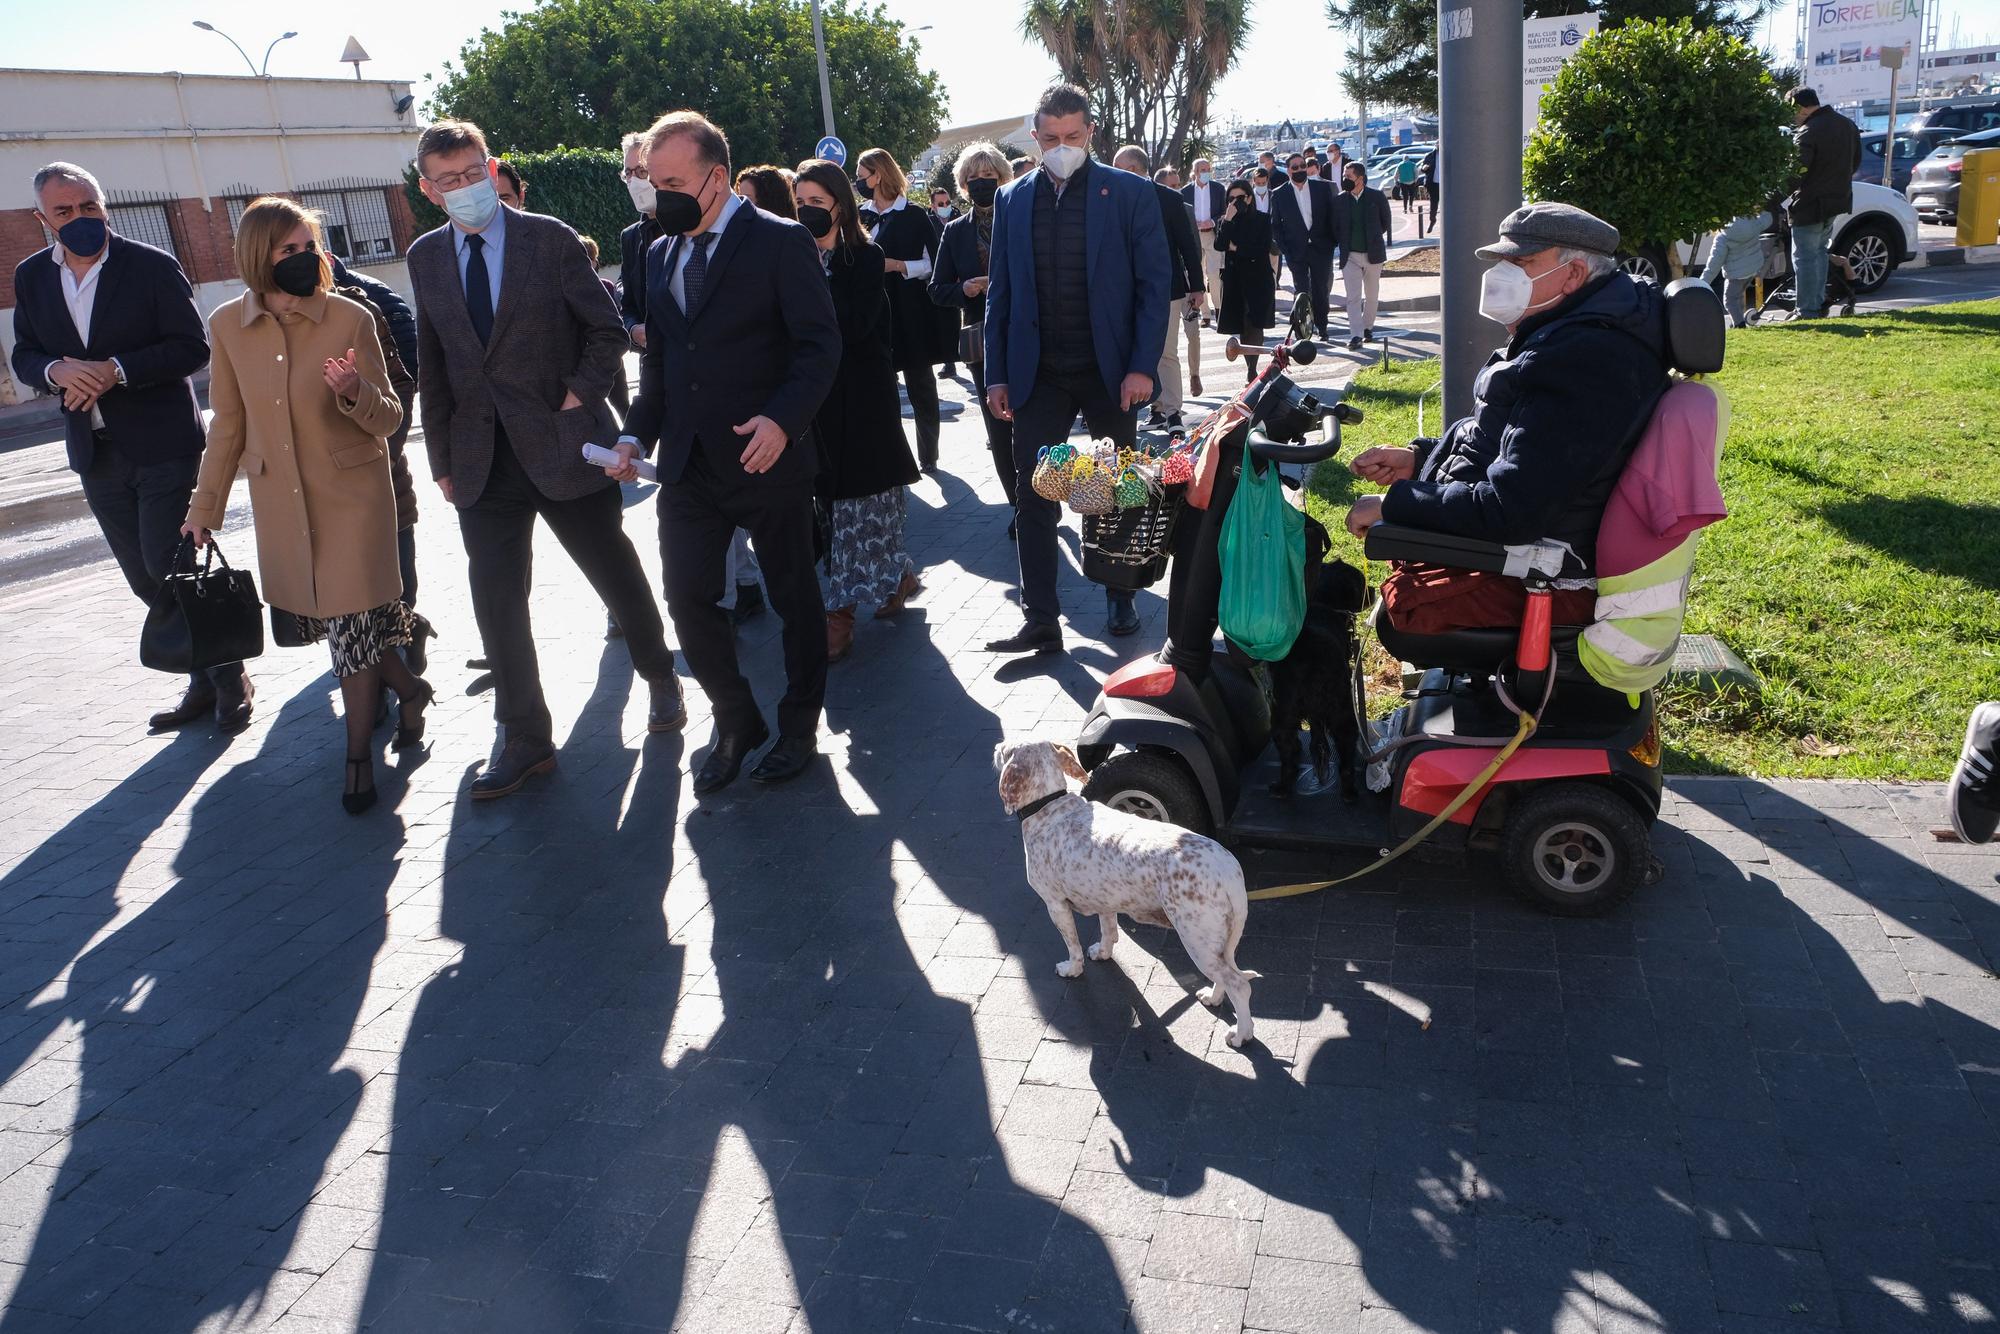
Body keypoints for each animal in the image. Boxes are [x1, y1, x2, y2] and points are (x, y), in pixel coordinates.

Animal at [996, 740, 1256, 1040]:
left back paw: (1241, 1034)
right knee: (1226, 976)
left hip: (1198, 942)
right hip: (1218, 945)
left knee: (1239, 985)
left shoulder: (1056, 905)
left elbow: (1072, 945)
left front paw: (1072, 969)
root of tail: (1228, 868)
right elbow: (1108, 931)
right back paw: (1213, 998)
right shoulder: (1105, 902)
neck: (1048, 806)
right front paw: (1102, 953)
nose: (996, 745)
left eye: (1005, 750)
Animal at [1264, 516, 1376, 800]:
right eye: (1361, 583)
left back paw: (1283, 787)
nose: (1372, 589)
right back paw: (1349, 792)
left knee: (1289, 751)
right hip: (1343, 708)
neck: (1322, 602)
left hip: (1282, 714)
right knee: (1345, 753)